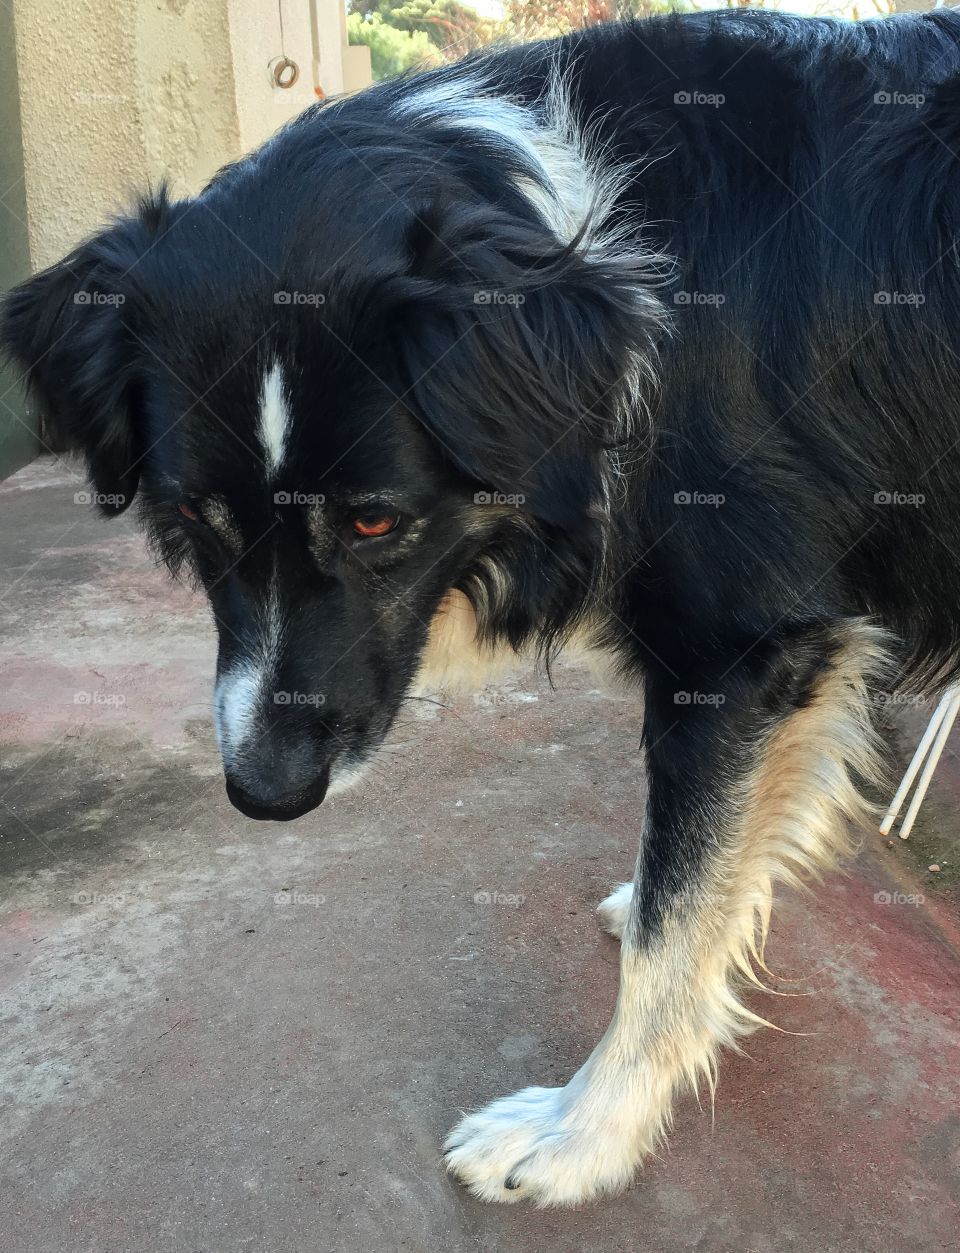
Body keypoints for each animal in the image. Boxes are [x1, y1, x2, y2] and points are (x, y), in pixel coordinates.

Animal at [1, 7, 960, 1202]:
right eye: (194, 515)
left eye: (375, 523)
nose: (267, 796)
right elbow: (704, 872)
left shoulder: (742, 645)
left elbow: (673, 924)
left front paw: (579, 1135)